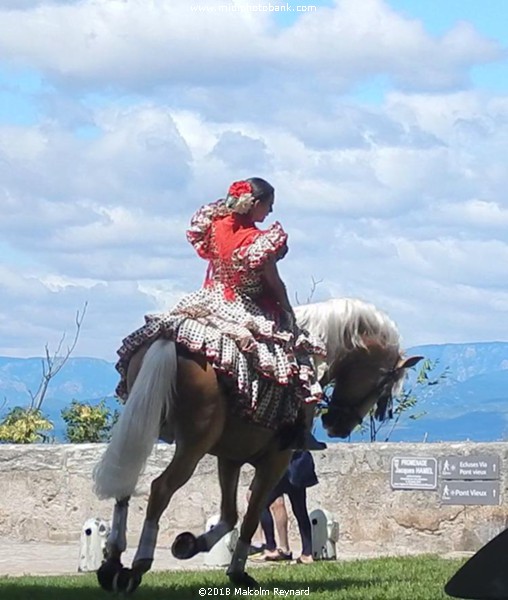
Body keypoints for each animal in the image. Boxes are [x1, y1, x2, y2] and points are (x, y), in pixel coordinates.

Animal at [92, 296, 420, 592]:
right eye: (384, 384)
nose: (337, 426)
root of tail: (170, 340)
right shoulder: (276, 460)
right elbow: (251, 516)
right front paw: (237, 573)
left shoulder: (230, 458)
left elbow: (230, 514)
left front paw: (190, 544)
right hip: (193, 444)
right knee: (161, 488)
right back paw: (138, 566)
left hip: (142, 424)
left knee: (126, 481)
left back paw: (112, 563)